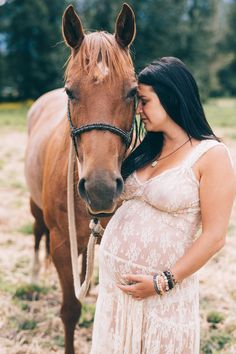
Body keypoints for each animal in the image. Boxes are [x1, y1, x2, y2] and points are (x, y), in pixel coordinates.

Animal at [24, 3, 136, 354]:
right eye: (71, 92)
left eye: (132, 92)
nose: (100, 189)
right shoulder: (62, 243)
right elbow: (71, 309)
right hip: (35, 208)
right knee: (37, 233)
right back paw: (35, 275)